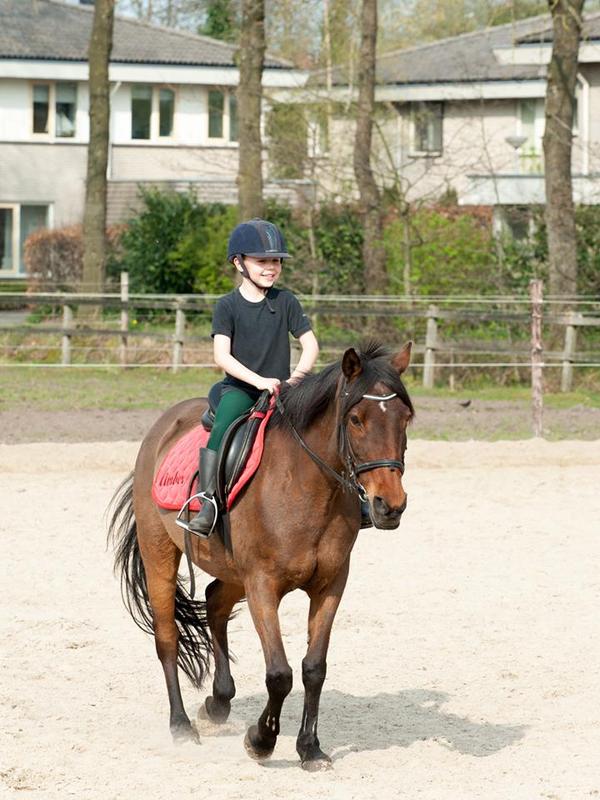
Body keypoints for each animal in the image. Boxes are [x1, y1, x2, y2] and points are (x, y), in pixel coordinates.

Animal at [107, 341, 414, 771]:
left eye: (406, 418)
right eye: (355, 419)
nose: (390, 506)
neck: (307, 486)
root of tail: (163, 427)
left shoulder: (330, 585)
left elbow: (314, 669)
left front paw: (310, 748)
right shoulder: (263, 586)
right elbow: (280, 674)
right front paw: (261, 740)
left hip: (233, 572)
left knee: (215, 602)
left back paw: (218, 703)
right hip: (161, 556)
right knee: (167, 637)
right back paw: (182, 726)